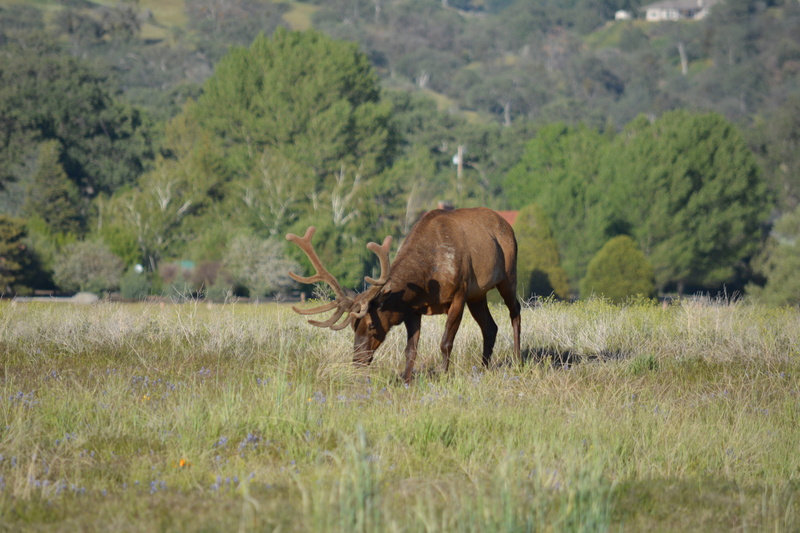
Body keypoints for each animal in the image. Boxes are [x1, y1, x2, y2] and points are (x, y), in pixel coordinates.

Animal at [286, 207, 521, 384]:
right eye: (353, 326)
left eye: (371, 326)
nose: (357, 361)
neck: (428, 279)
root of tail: (507, 225)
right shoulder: (413, 309)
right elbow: (410, 349)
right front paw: (406, 381)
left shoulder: (459, 296)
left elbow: (445, 343)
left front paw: (443, 376)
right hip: (478, 295)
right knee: (490, 327)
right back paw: (483, 368)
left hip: (507, 275)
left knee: (515, 310)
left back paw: (518, 360)